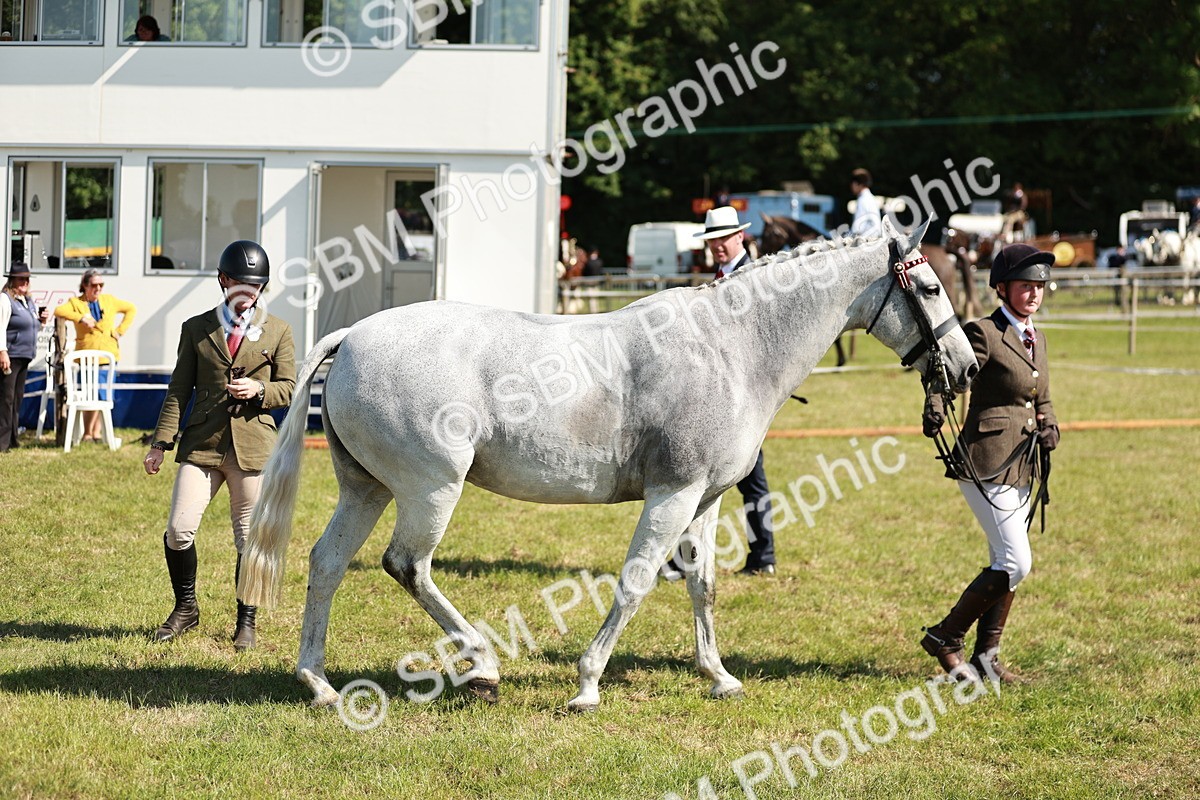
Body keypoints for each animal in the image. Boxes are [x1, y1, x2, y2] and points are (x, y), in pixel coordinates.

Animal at [238, 217, 978, 712]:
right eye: (930, 288)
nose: (967, 367)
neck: (730, 347)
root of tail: (353, 337)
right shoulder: (672, 494)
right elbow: (636, 582)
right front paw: (588, 685)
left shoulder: (705, 500)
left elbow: (702, 585)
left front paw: (719, 676)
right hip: (430, 490)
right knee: (407, 566)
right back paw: (483, 667)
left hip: (365, 489)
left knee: (327, 562)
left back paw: (318, 683)